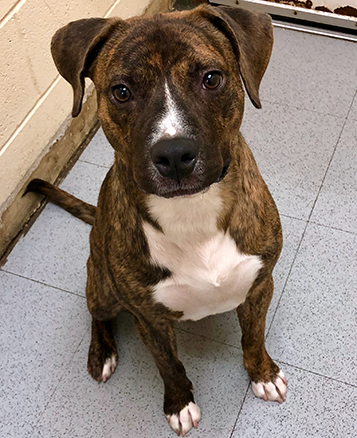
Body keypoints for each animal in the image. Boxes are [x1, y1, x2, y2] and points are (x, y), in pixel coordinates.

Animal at [26, 5, 286, 436]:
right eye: (121, 91)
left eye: (211, 78)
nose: (175, 154)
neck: (192, 211)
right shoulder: (149, 319)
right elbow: (169, 365)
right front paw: (180, 404)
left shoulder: (259, 285)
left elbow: (253, 337)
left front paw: (262, 374)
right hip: (102, 284)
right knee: (97, 315)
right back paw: (102, 354)